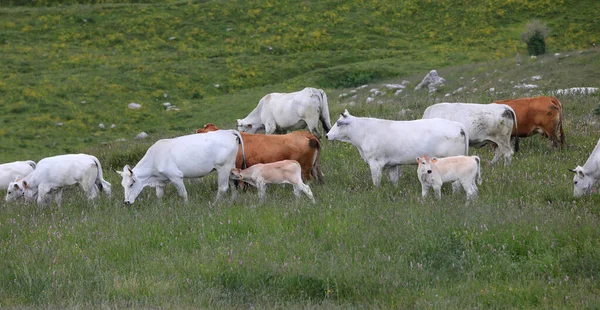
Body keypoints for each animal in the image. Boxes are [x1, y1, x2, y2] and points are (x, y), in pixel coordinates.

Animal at [116, 130, 245, 205]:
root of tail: (227, 132)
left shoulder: (175, 176)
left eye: (131, 184)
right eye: (122, 185)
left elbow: (183, 194)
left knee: (223, 188)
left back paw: (214, 204)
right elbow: (159, 195)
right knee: (234, 183)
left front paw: (186, 206)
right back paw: (233, 201)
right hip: (231, 167)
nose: (126, 202)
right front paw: (159, 208)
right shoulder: (160, 181)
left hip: (223, 167)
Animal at [324, 109, 468, 186]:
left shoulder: (375, 163)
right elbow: (394, 181)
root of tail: (457, 125)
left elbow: (376, 182)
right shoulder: (393, 164)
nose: (327, 135)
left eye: (338, 124)